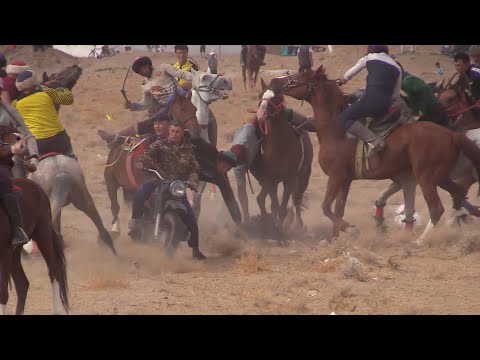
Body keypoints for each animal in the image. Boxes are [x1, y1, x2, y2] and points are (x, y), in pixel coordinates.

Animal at [0, 130, 68, 316]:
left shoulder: (4, 254)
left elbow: (2, 293)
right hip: (16, 252)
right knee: (22, 284)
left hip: (42, 234)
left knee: (54, 269)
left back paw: (57, 310)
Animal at [256, 79, 314, 229]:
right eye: (260, 95)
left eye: (276, 98)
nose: (260, 115)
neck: (280, 147)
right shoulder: (271, 178)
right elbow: (269, 203)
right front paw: (270, 222)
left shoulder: (289, 180)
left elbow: (282, 208)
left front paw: (280, 228)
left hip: (303, 177)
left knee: (297, 199)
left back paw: (299, 224)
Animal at [270, 67, 480, 242]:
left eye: (299, 77)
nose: (274, 82)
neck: (336, 130)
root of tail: (451, 134)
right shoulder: (345, 180)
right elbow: (338, 210)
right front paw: (334, 239)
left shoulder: (336, 176)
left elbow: (326, 207)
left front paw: (351, 229)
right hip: (440, 176)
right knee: (458, 194)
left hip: (427, 177)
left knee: (437, 208)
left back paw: (419, 241)